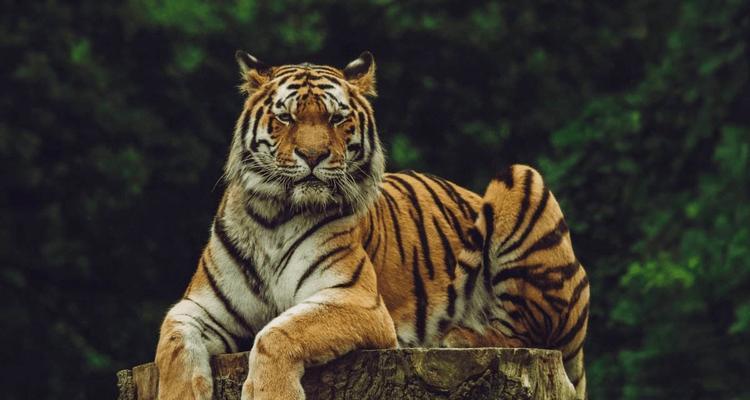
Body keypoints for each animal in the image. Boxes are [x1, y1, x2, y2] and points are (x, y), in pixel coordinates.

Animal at [156, 50, 592, 400]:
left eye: (337, 118)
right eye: (286, 117)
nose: (312, 155)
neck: (274, 216)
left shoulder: (355, 300)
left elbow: (276, 334)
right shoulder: (199, 307)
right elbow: (171, 344)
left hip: (521, 179)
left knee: (528, 331)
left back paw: (457, 336)